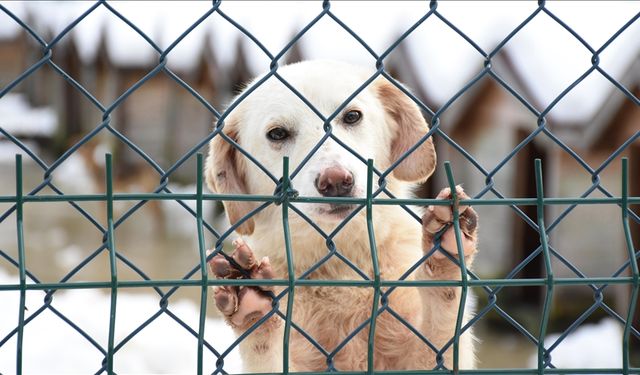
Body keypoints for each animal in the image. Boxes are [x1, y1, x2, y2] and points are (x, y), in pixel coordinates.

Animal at [205, 60, 480, 372]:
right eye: (277, 134)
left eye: (352, 116)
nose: (336, 181)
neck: (340, 263)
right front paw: (256, 314)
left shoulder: (428, 355)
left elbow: (442, 322)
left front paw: (444, 255)